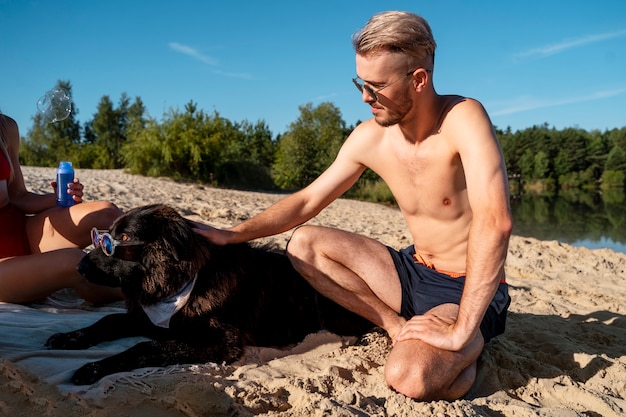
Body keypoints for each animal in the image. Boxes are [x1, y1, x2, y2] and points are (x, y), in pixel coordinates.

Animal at [48, 203, 372, 382]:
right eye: (102, 237)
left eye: (123, 239)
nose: (78, 266)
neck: (182, 283)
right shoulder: (146, 317)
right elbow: (108, 321)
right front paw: (69, 338)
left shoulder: (222, 342)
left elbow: (144, 347)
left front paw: (93, 368)